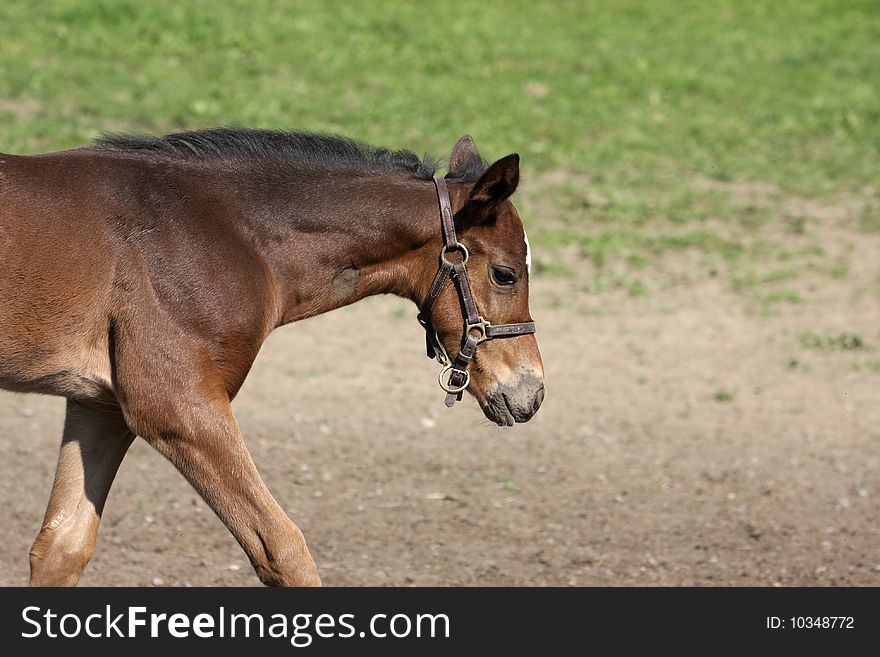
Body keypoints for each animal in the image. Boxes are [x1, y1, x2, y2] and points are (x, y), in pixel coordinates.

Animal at [0, 128, 544, 584]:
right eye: (505, 274)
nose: (532, 392)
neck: (230, 235)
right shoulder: (174, 406)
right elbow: (282, 549)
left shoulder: (101, 406)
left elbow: (62, 548)